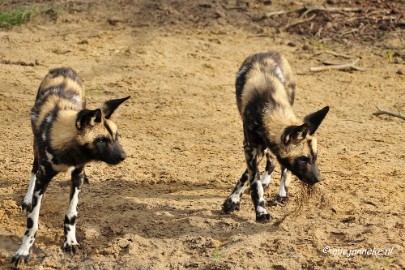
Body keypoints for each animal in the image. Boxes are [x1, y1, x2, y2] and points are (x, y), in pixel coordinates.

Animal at [11, 67, 129, 264]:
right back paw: (27, 199)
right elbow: (32, 222)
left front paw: (70, 241)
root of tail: (63, 69)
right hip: (35, 148)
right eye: (101, 140)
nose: (123, 156)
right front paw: (23, 251)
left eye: (116, 137)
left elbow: (71, 214)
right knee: (33, 169)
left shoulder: (77, 176)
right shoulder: (43, 180)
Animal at [221, 51, 328, 223]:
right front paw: (252, 207)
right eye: (304, 159)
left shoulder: (258, 148)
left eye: (315, 157)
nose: (319, 179)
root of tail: (270, 52)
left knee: (278, 163)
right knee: (269, 161)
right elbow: (253, 182)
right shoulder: (251, 146)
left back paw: (281, 192)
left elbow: (255, 175)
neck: (268, 108)